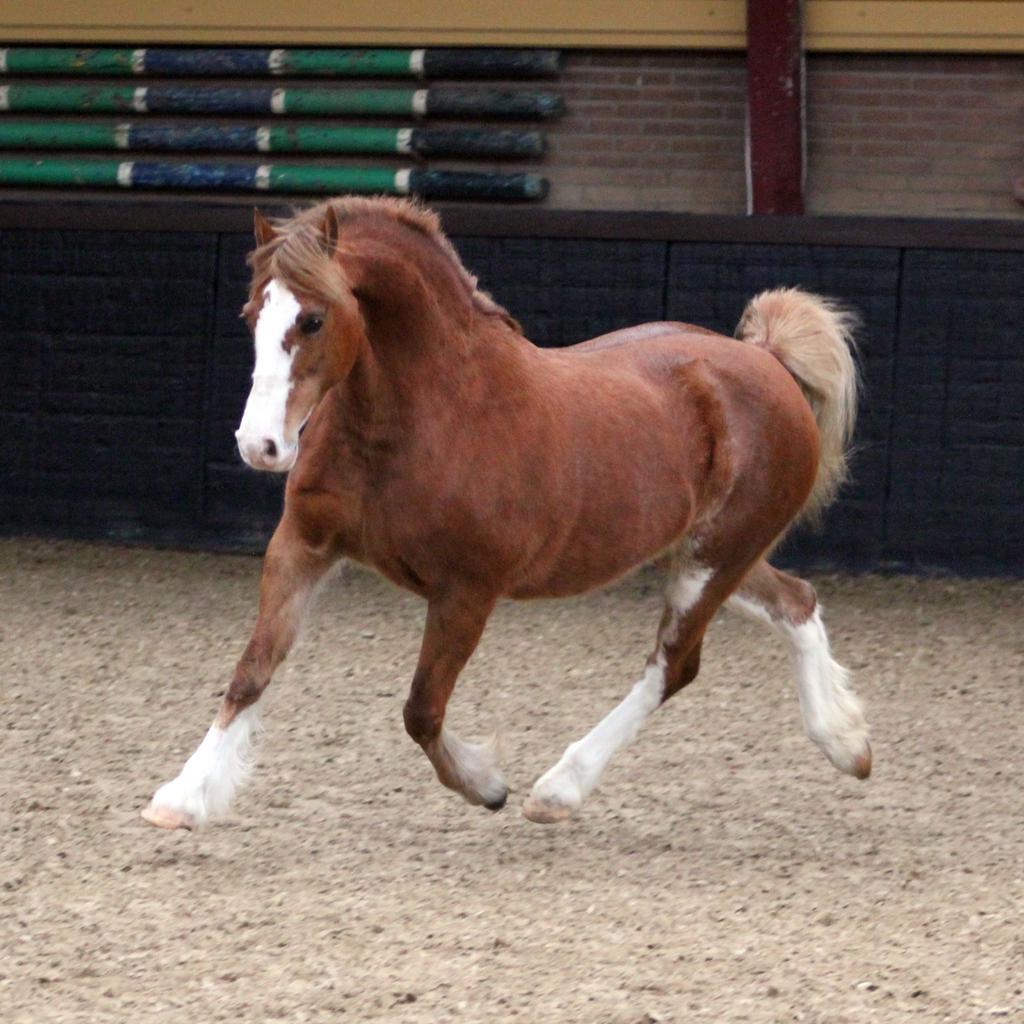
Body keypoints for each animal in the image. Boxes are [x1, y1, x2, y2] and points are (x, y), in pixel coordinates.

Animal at [142, 196, 870, 831]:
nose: (259, 446)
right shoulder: (304, 545)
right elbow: (251, 671)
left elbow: (421, 710)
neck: (418, 419)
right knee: (796, 601)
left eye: (314, 319)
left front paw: (486, 784)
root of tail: (767, 362)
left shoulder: (467, 590)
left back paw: (558, 790)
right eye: (250, 314)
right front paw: (181, 799)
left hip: (713, 560)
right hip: (701, 552)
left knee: (672, 667)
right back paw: (848, 742)